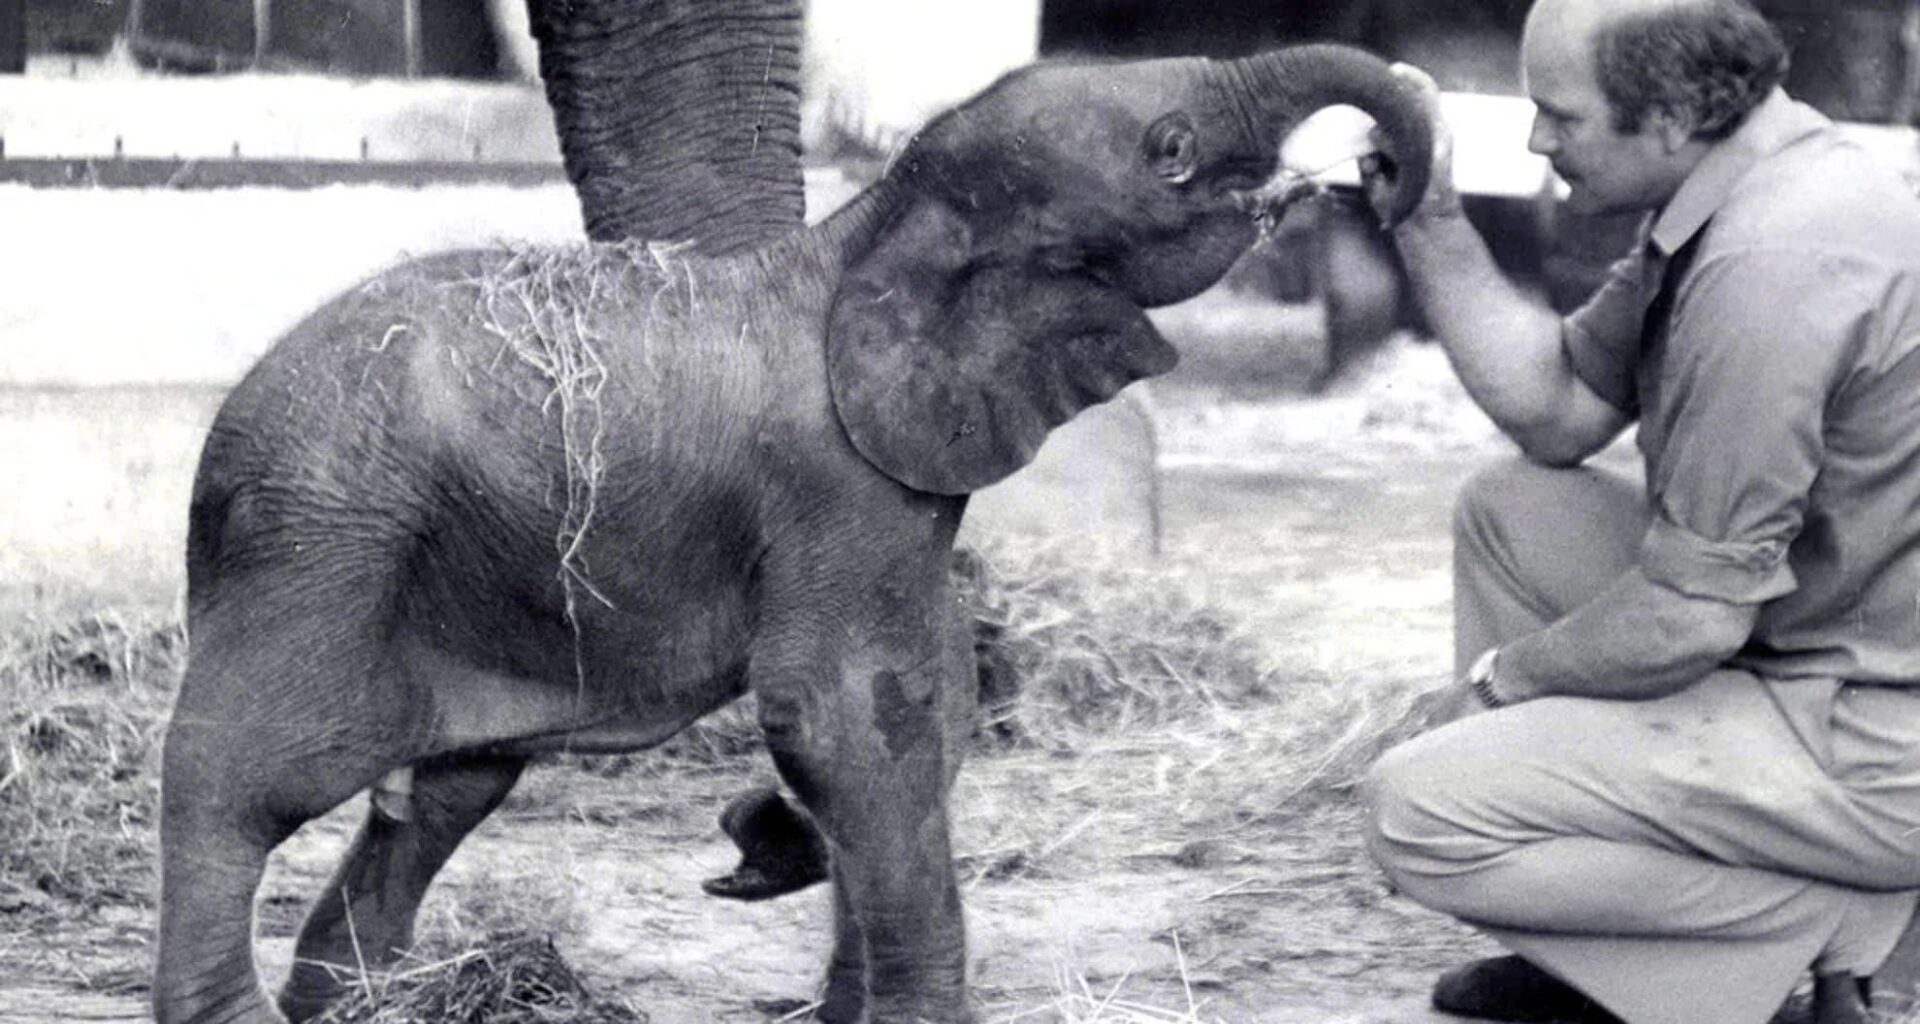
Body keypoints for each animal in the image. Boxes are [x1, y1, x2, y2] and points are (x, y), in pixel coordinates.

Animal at [149, 38, 1434, 1024]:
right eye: (1171, 151)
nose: (1378, 179)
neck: (868, 231)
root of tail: (219, 446)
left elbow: (920, 707)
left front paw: (794, 882)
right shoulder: (834, 486)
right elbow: (848, 715)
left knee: (444, 790)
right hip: (323, 543)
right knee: (243, 779)